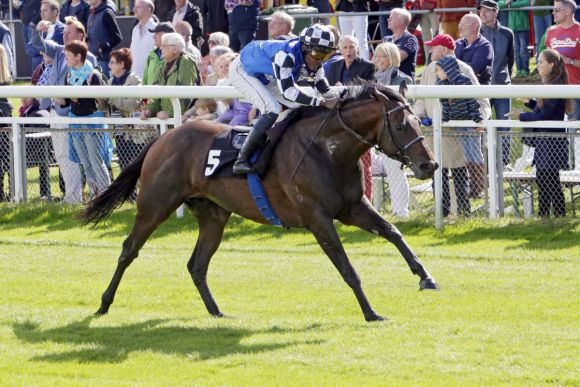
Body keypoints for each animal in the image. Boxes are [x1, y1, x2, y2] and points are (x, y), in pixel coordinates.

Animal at [82, 83, 440, 322]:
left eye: (417, 122)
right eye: (400, 125)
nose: (430, 165)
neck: (326, 150)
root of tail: (163, 139)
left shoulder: (353, 208)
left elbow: (393, 232)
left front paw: (426, 277)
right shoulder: (318, 218)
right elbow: (347, 268)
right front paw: (371, 312)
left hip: (213, 216)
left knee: (197, 264)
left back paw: (217, 312)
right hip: (155, 206)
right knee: (129, 249)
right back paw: (103, 303)